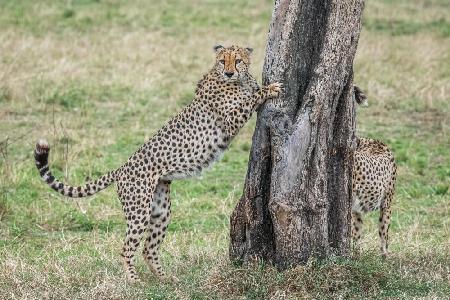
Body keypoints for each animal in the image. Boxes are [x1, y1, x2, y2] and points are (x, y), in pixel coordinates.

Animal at [34, 44, 282, 282]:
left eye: (237, 60)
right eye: (223, 61)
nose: (230, 72)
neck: (233, 79)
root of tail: (121, 168)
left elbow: (251, 91)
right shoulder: (230, 121)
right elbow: (250, 99)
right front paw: (270, 89)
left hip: (161, 210)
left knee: (148, 248)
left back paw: (165, 278)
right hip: (139, 211)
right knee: (126, 248)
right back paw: (134, 280)